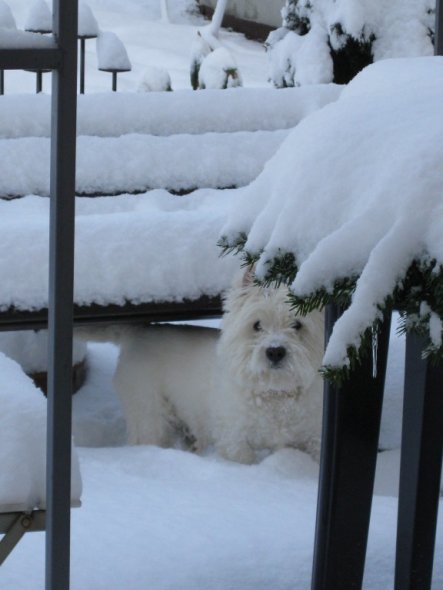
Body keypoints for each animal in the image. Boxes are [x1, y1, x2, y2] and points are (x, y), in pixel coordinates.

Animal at [84, 276, 326, 464]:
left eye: (297, 325)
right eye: (256, 325)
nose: (275, 351)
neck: (275, 394)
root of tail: (136, 334)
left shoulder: (313, 436)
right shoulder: (233, 439)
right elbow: (244, 458)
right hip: (148, 409)